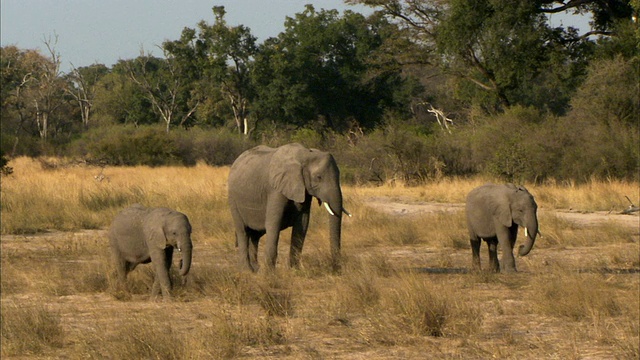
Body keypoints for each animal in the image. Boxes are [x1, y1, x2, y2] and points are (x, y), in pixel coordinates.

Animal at [228, 143, 350, 272]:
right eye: (318, 177)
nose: (336, 268)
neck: (306, 155)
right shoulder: (275, 190)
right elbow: (273, 223)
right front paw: (270, 273)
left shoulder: (303, 190)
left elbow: (302, 224)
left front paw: (295, 270)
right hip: (233, 199)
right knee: (243, 232)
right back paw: (246, 270)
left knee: (255, 235)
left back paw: (256, 269)